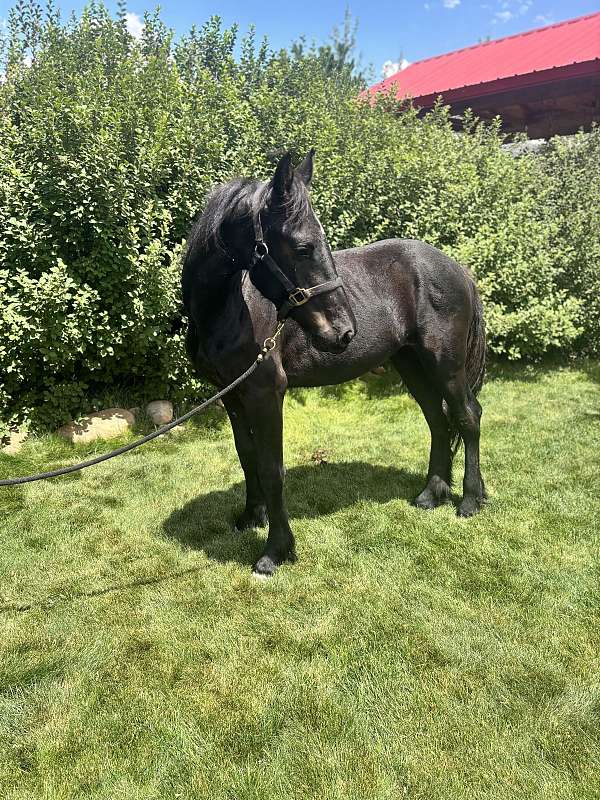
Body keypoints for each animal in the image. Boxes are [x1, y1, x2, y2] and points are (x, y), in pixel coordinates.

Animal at [181, 150, 486, 576]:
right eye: (303, 247)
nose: (344, 331)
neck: (225, 309)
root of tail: (457, 269)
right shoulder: (231, 396)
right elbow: (247, 458)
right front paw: (250, 517)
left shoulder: (265, 393)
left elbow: (272, 468)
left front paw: (275, 550)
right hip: (412, 364)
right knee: (439, 422)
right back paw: (431, 494)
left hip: (445, 364)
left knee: (467, 417)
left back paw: (470, 501)